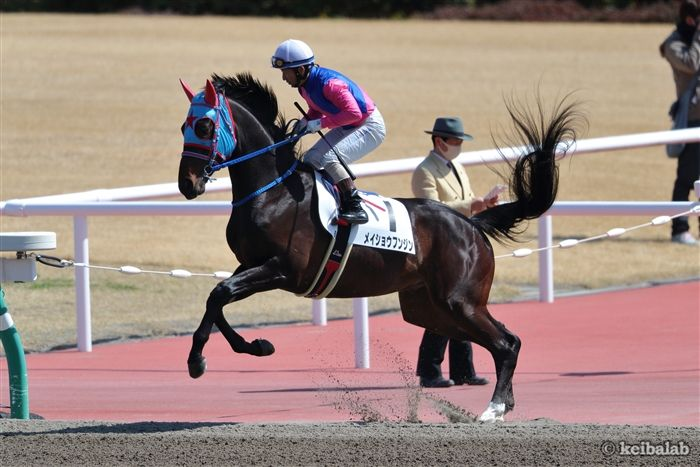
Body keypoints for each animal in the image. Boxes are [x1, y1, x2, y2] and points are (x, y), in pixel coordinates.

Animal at [177, 72, 583, 422]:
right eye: (184, 127)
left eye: (204, 126)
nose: (187, 184)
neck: (274, 191)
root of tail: (470, 223)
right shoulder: (249, 264)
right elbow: (217, 301)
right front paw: (253, 347)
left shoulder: (282, 270)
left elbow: (219, 294)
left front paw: (198, 362)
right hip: (430, 308)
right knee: (507, 339)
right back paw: (504, 403)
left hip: (460, 301)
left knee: (504, 343)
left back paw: (494, 408)